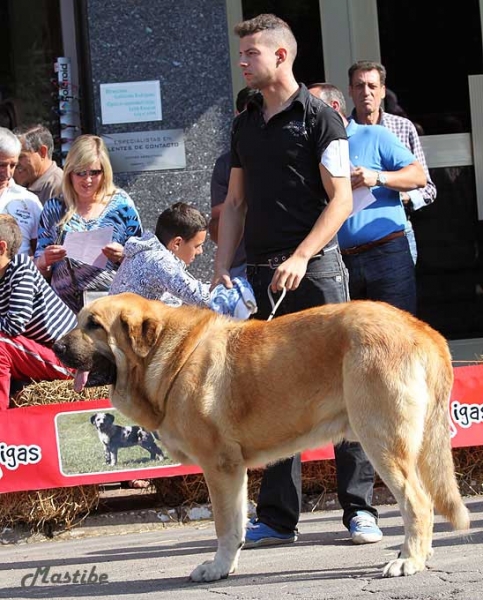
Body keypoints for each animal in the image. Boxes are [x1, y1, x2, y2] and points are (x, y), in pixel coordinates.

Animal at [53, 292, 468, 584]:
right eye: (80, 321)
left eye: (93, 324)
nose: (56, 347)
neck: (163, 356)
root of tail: (420, 328)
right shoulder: (233, 471)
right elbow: (236, 524)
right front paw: (227, 566)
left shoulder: (219, 467)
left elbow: (223, 526)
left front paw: (216, 567)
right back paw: (421, 553)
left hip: (381, 441)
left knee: (419, 503)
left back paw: (408, 560)